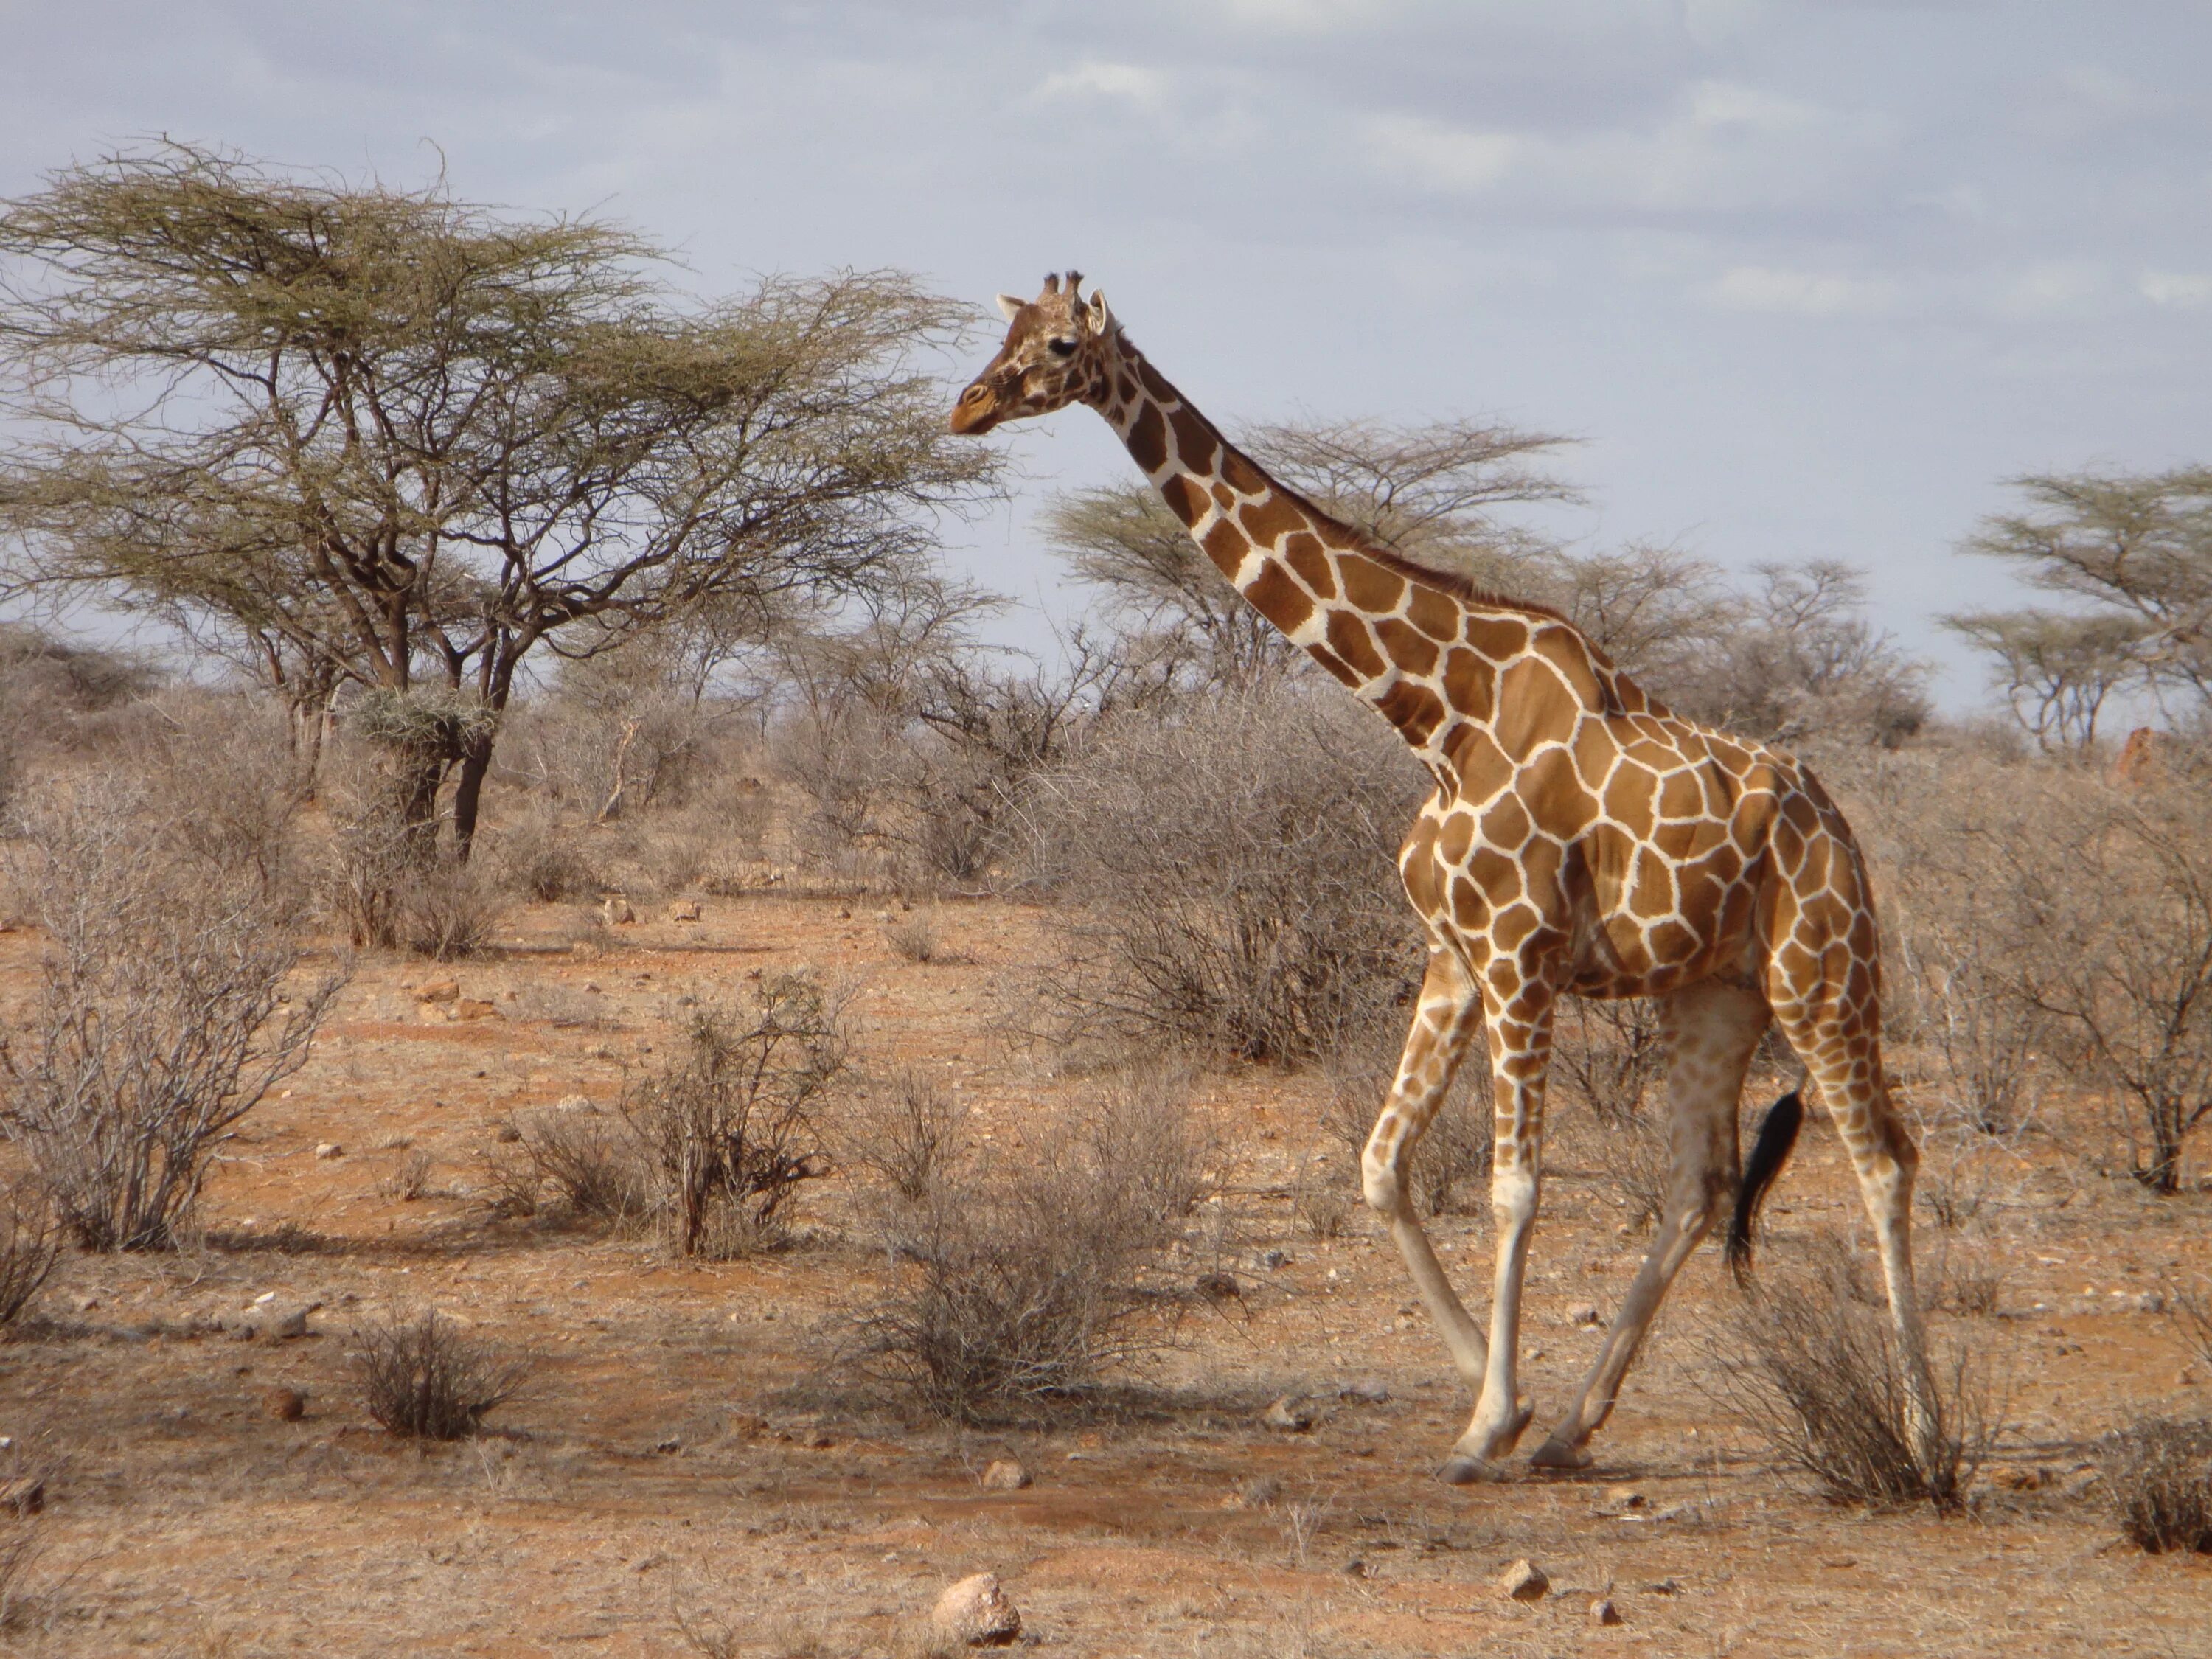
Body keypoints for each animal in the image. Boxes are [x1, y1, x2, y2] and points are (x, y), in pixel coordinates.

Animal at [951, 279, 1938, 1486]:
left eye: (1055, 346)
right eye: (997, 335)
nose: (967, 405)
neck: (1436, 713)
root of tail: (1837, 824)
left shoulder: (1521, 959)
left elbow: (1515, 1188)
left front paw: (1483, 1424)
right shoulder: (1454, 956)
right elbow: (1382, 1163)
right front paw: (1502, 1402)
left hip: (1825, 976)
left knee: (1886, 1161)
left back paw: (1925, 1438)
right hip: (1715, 994)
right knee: (1702, 1183)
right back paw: (1571, 1429)